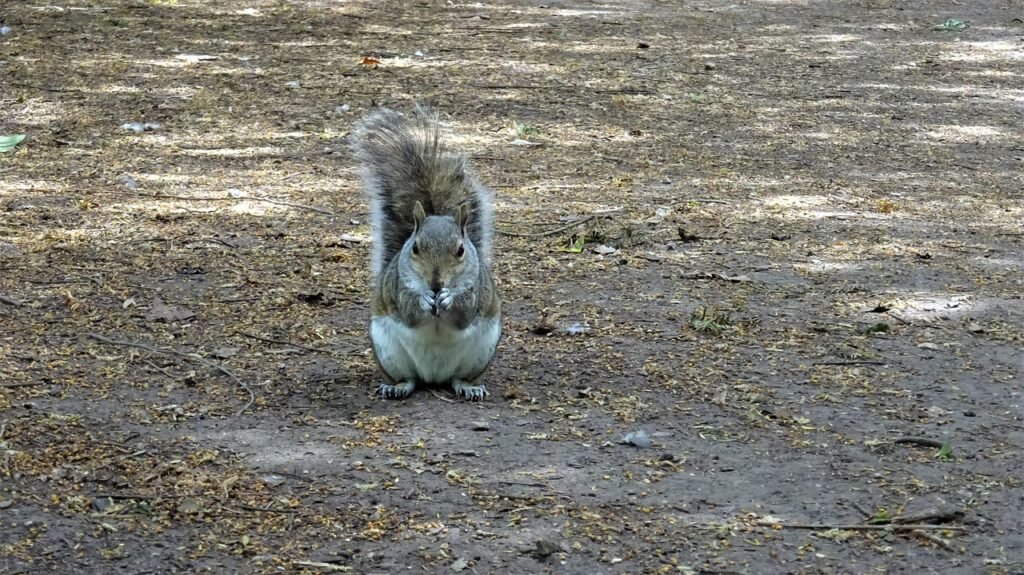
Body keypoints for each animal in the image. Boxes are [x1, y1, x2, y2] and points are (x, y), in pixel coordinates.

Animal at [351, 105, 501, 401]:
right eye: (415, 247)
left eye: (461, 250)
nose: (435, 283)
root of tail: (434, 377)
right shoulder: (398, 285)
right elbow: (408, 310)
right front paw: (422, 300)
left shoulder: (476, 289)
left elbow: (464, 313)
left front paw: (449, 299)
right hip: (388, 352)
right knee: (409, 379)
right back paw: (396, 387)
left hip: (481, 353)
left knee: (457, 379)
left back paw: (469, 387)